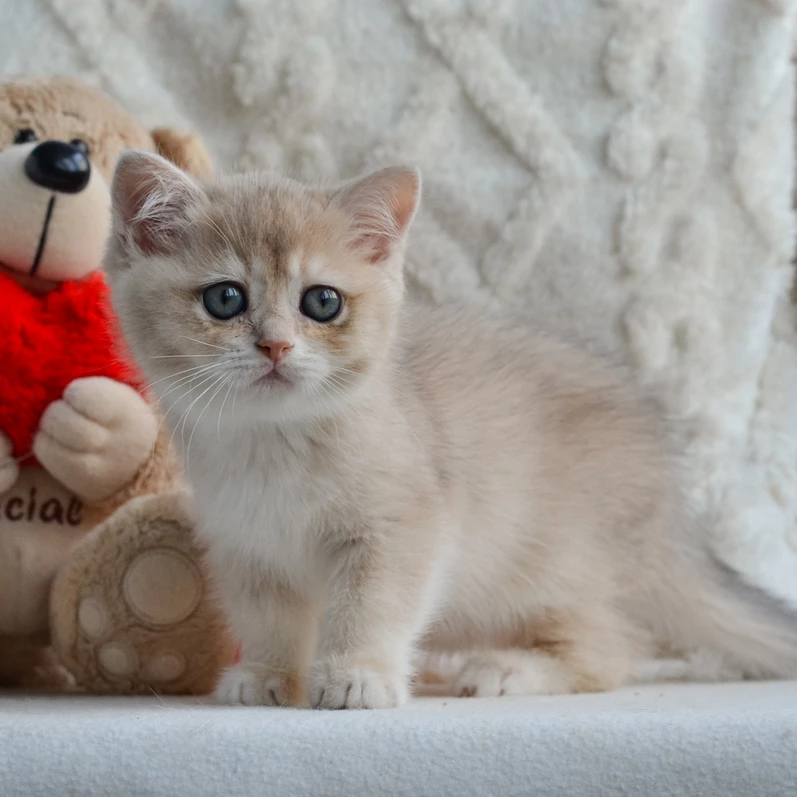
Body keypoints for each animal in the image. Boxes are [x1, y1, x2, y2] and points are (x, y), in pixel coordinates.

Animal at [105, 152, 796, 704]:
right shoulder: (250, 551)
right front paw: (272, 676)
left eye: (321, 302)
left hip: (555, 569)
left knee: (613, 650)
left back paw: (505, 671)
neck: (273, 447)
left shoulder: (400, 529)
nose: (275, 346)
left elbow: (369, 607)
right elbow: (269, 622)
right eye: (225, 299)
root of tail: (672, 507)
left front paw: (356, 674)